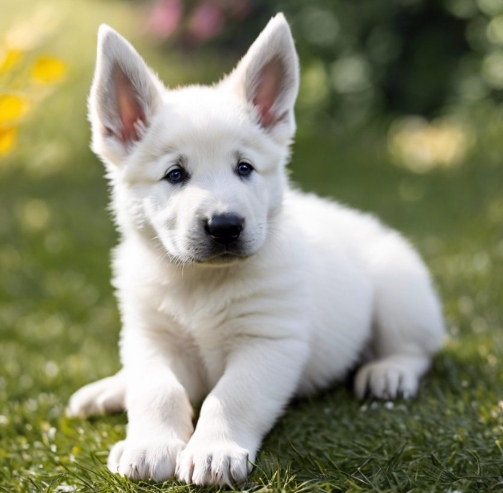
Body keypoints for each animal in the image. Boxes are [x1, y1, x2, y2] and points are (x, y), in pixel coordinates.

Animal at [68, 14, 444, 484]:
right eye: (175, 174)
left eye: (244, 168)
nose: (225, 226)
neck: (202, 284)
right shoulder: (150, 338)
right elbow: (158, 390)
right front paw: (151, 444)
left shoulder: (268, 341)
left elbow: (230, 396)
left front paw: (213, 451)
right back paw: (108, 389)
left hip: (399, 292)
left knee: (414, 349)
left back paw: (387, 373)